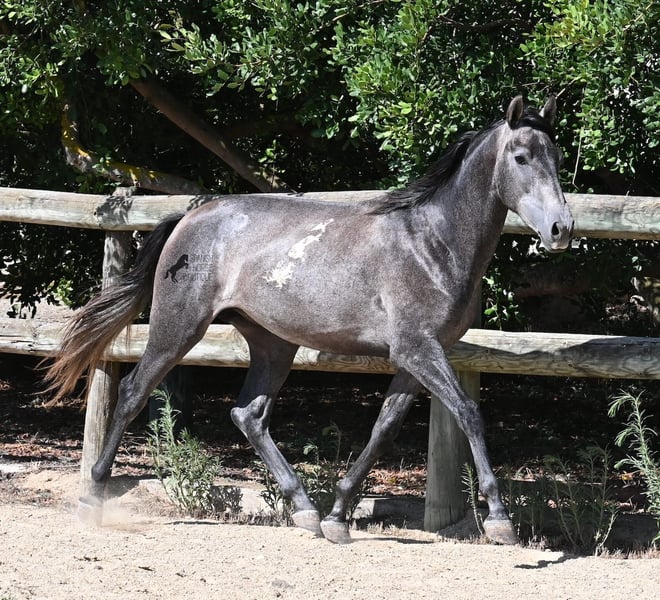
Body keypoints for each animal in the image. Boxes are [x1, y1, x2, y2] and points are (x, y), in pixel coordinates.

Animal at [46, 95, 574, 544]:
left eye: (557, 156)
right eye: (521, 157)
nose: (561, 230)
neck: (431, 243)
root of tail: (188, 218)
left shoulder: (415, 357)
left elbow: (384, 428)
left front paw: (339, 516)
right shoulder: (417, 349)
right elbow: (468, 412)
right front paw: (500, 520)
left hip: (273, 344)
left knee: (248, 414)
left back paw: (306, 511)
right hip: (179, 327)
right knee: (134, 391)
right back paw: (93, 498)